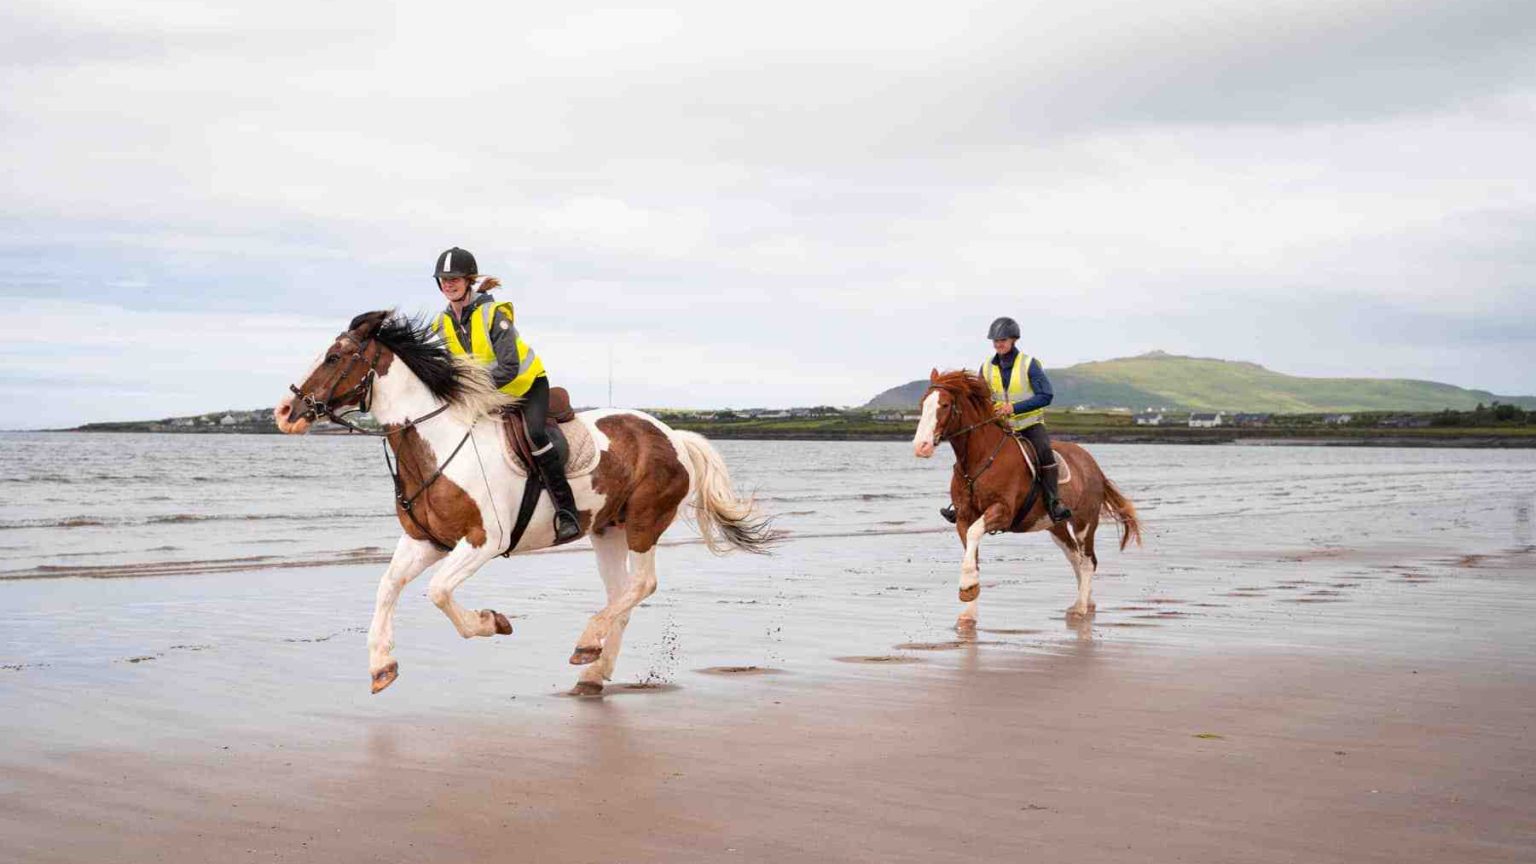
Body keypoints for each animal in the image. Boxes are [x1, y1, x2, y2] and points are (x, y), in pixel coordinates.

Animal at [275, 310, 779, 696]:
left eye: (334, 357)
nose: (285, 413)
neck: (438, 442)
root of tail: (673, 434)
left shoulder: (484, 541)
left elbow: (438, 591)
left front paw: (492, 622)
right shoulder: (426, 540)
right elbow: (388, 586)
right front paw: (382, 667)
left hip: (643, 522)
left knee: (642, 586)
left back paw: (586, 644)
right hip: (607, 530)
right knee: (621, 596)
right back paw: (593, 668)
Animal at [911, 369, 1141, 631]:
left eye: (945, 405)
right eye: (922, 404)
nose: (921, 446)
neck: (980, 459)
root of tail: (1092, 463)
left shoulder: (1002, 512)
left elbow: (974, 534)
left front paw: (967, 586)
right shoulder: (963, 516)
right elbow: (972, 549)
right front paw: (968, 612)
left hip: (1085, 522)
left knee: (1088, 561)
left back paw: (1081, 608)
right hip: (1056, 525)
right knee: (1075, 558)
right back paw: (1085, 602)